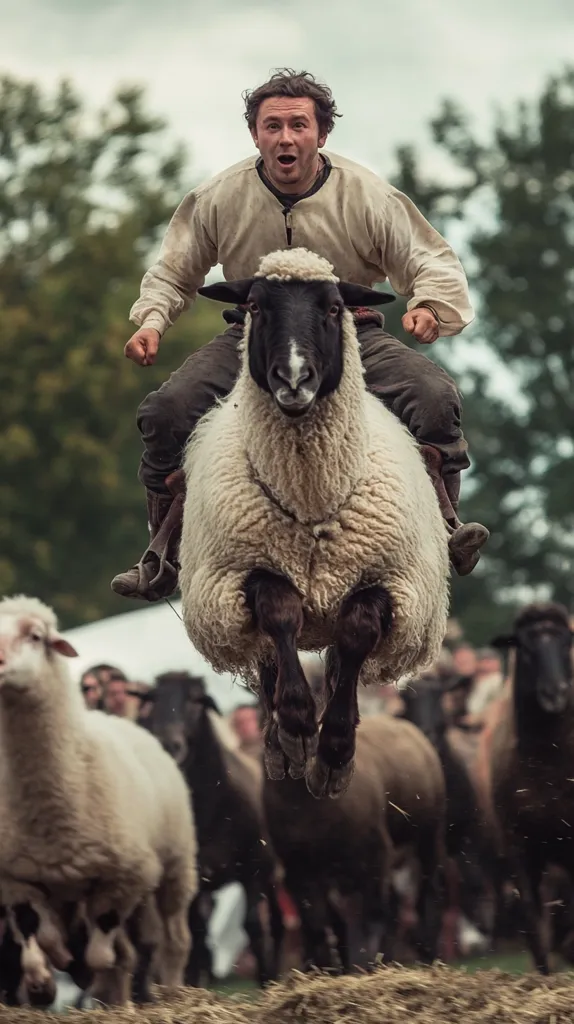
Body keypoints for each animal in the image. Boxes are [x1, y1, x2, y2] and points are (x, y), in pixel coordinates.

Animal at [0, 594, 198, 1005]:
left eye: (36, 636)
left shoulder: (127, 875)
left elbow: (101, 952)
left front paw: (83, 967)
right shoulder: (17, 879)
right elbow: (40, 934)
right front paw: (48, 973)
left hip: (176, 866)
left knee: (174, 940)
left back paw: (171, 992)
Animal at [179, 247, 450, 799]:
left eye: (332, 307)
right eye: (256, 307)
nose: (294, 379)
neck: (310, 504)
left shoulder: (391, 580)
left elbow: (357, 633)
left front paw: (334, 753)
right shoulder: (238, 574)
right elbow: (279, 613)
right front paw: (299, 727)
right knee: (266, 653)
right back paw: (279, 748)